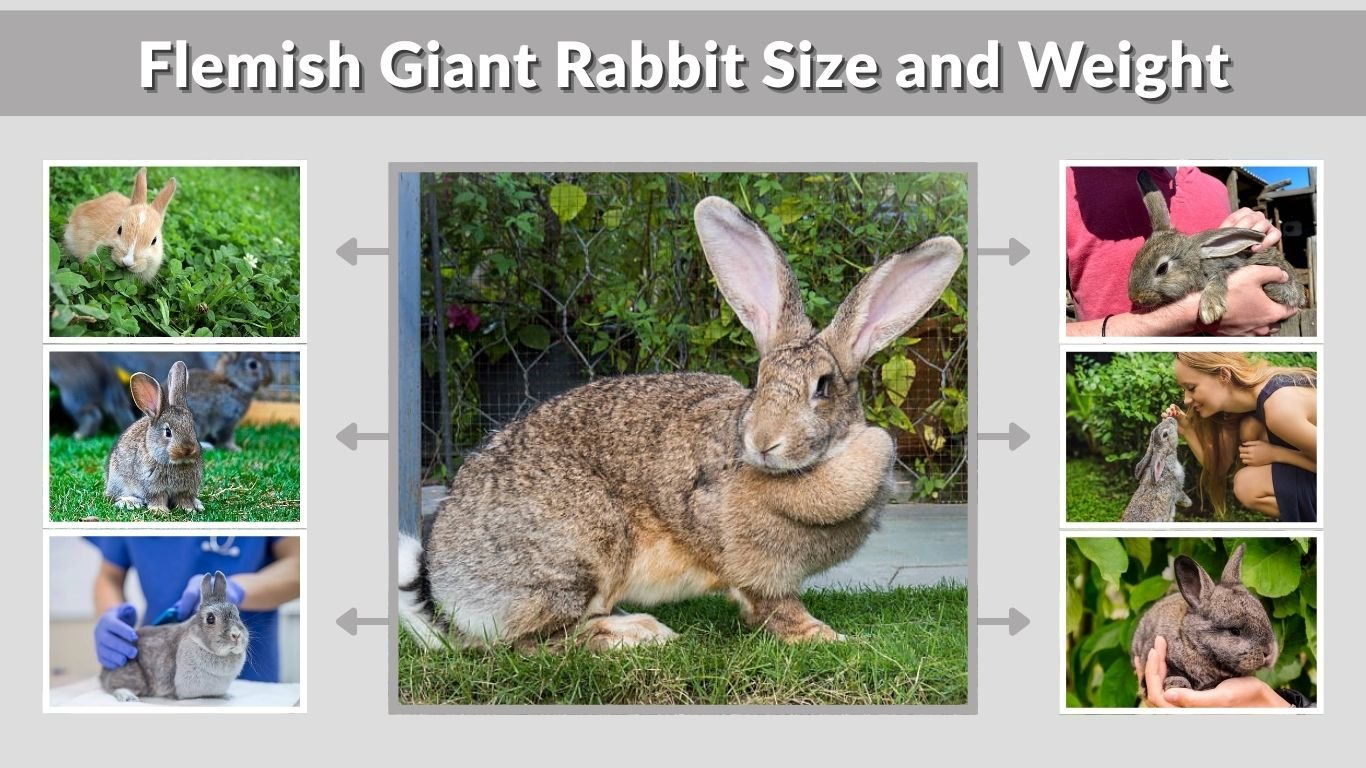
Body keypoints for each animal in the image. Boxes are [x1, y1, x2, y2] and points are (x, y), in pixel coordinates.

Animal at [101, 572, 249, 701]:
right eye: (210, 619)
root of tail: (104, 673)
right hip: (134, 675)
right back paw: (127, 696)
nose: (236, 635)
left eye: (237, 613)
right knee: (115, 687)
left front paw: (227, 696)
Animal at [104, 360, 204, 513]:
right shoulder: (153, 488)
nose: (188, 449)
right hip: (118, 481)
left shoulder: (185, 491)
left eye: (192, 428)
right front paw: (160, 511)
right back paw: (130, 502)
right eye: (168, 432)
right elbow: (156, 498)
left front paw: (189, 509)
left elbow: (184, 499)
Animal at [398, 196, 963, 651]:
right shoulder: (755, 569)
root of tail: (445, 586)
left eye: (823, 387)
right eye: (759, 380)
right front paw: (825, 638)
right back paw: (635, 634)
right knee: (532, 643)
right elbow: (775, 608)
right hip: (579, 552)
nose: (763, 442)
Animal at [1127, 170, 1305, 326]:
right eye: (1135, 258)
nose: (1134, 297)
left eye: (1162, 269)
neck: (1199, 264)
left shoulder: (1228, 266)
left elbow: (1219, 279)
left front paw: (1210, 309)